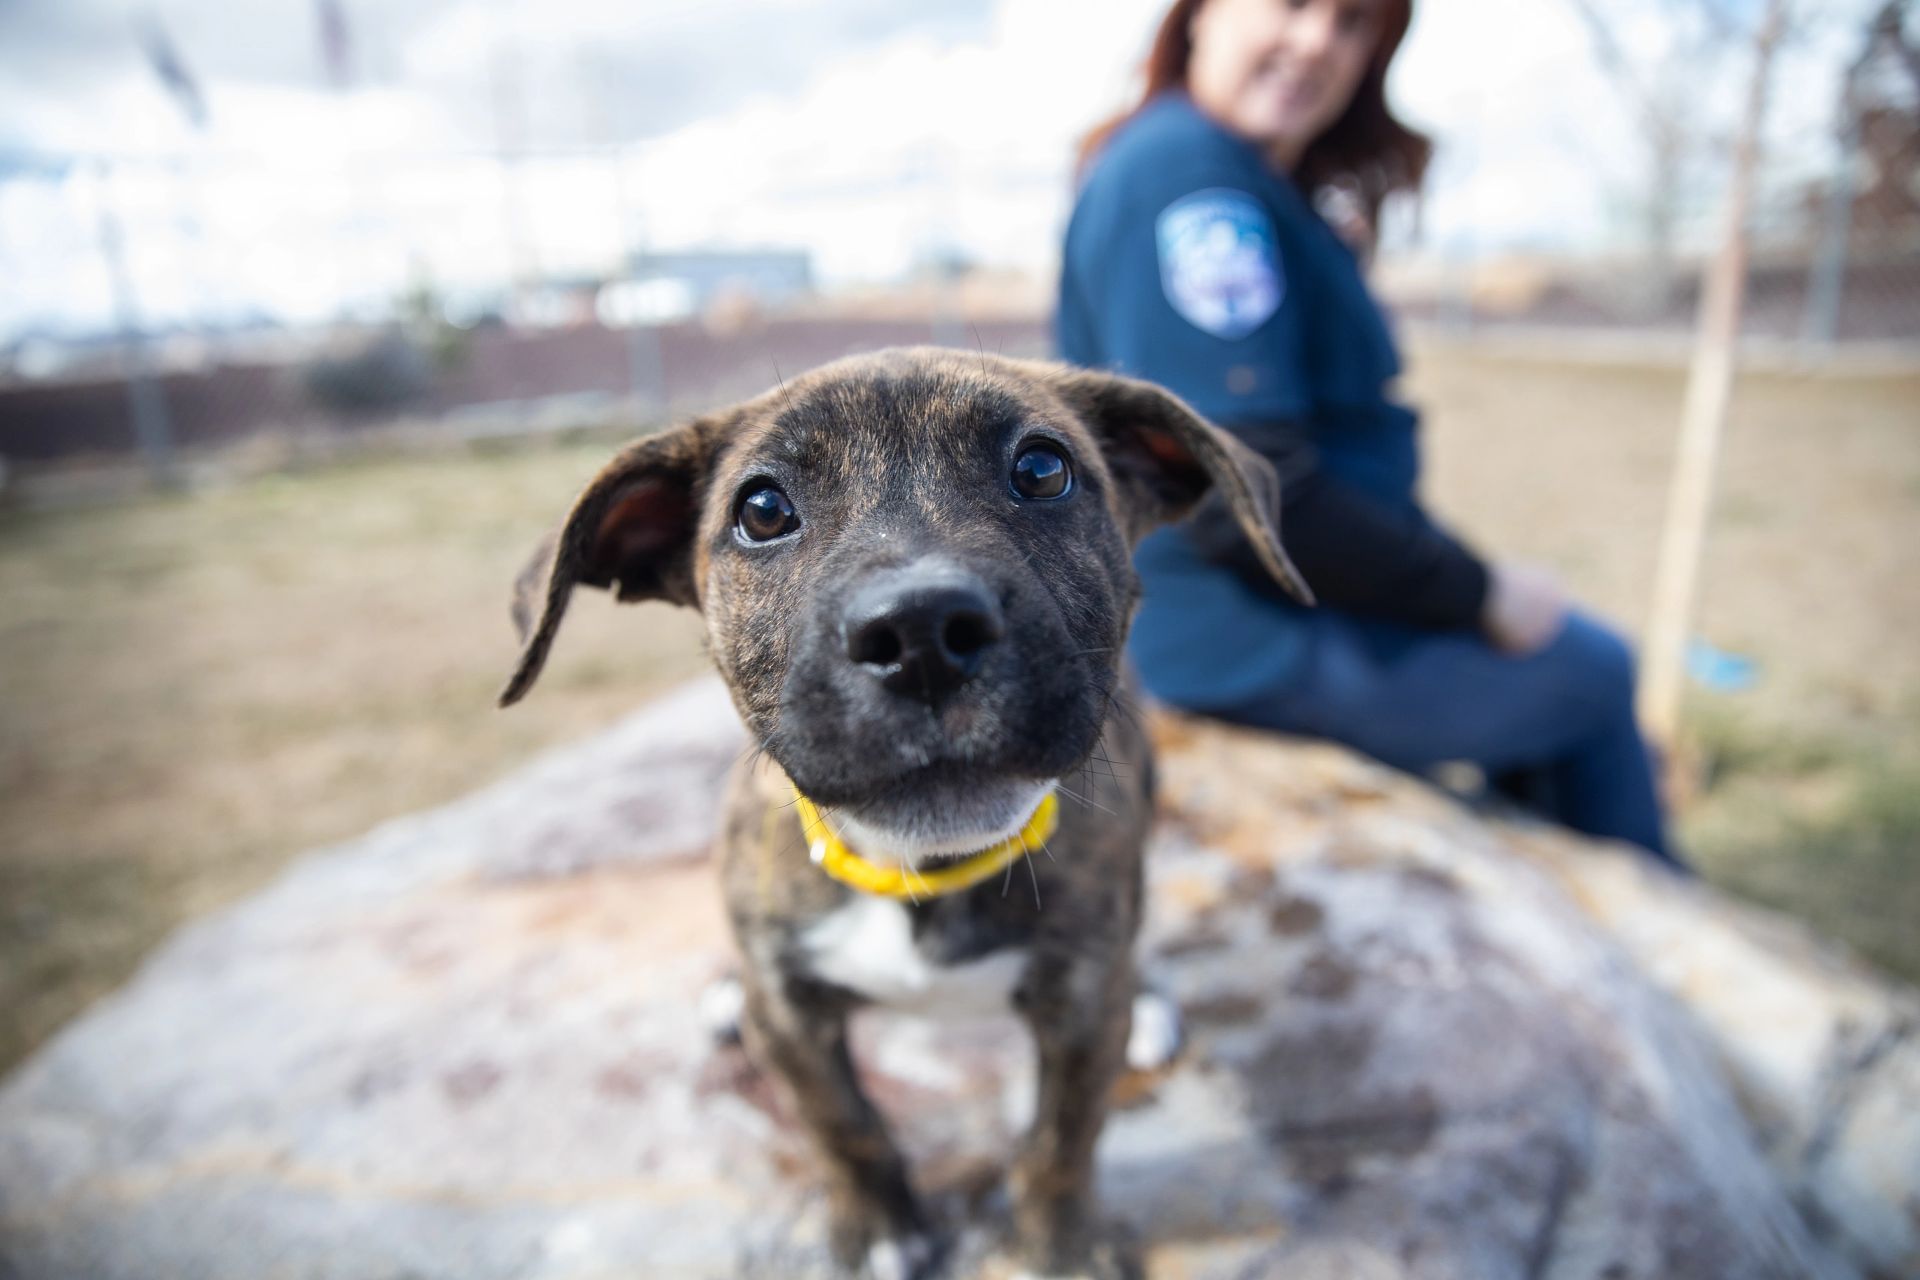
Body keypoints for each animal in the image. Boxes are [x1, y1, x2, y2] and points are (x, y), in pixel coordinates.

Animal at [499, 351, 1305, 1280]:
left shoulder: (1079, 1011)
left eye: (1043, 469)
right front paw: (884, 1232)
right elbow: (844, 1128)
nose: (921, 631)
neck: (921, 867)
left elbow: (1062, 1141)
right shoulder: (791, 1020)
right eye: (762, 510)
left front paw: (1061, 1249)